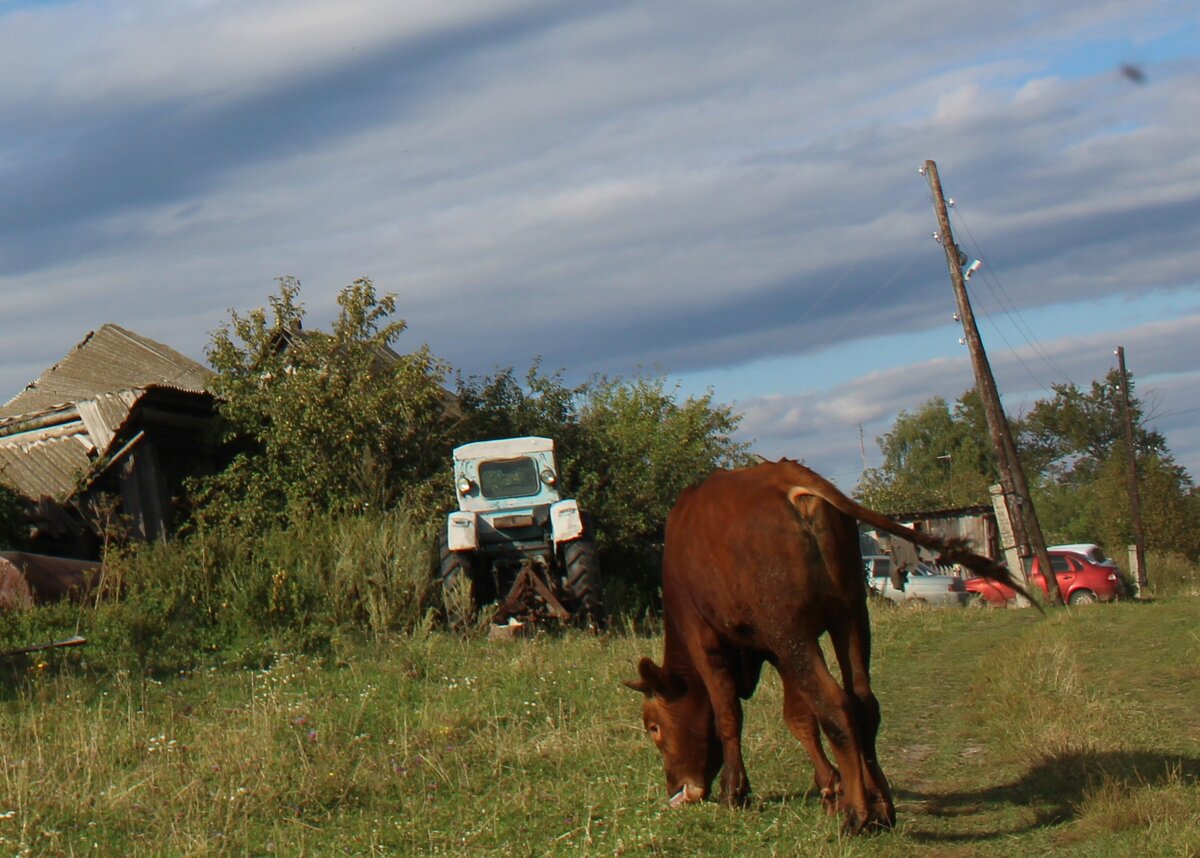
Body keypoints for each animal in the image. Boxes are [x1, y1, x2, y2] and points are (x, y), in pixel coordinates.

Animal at [628, 463, 1032, 830]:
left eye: (653, 726)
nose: (676, 788)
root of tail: (790, 478)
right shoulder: (774, 648)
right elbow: (799, 717)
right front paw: (830, 788)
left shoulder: (708, 638)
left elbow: (729, 715)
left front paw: (735, 791)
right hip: (849, 615)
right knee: (862, 701)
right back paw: (881, 807)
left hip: (793, 628)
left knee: (836, 704)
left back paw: (858, 815)